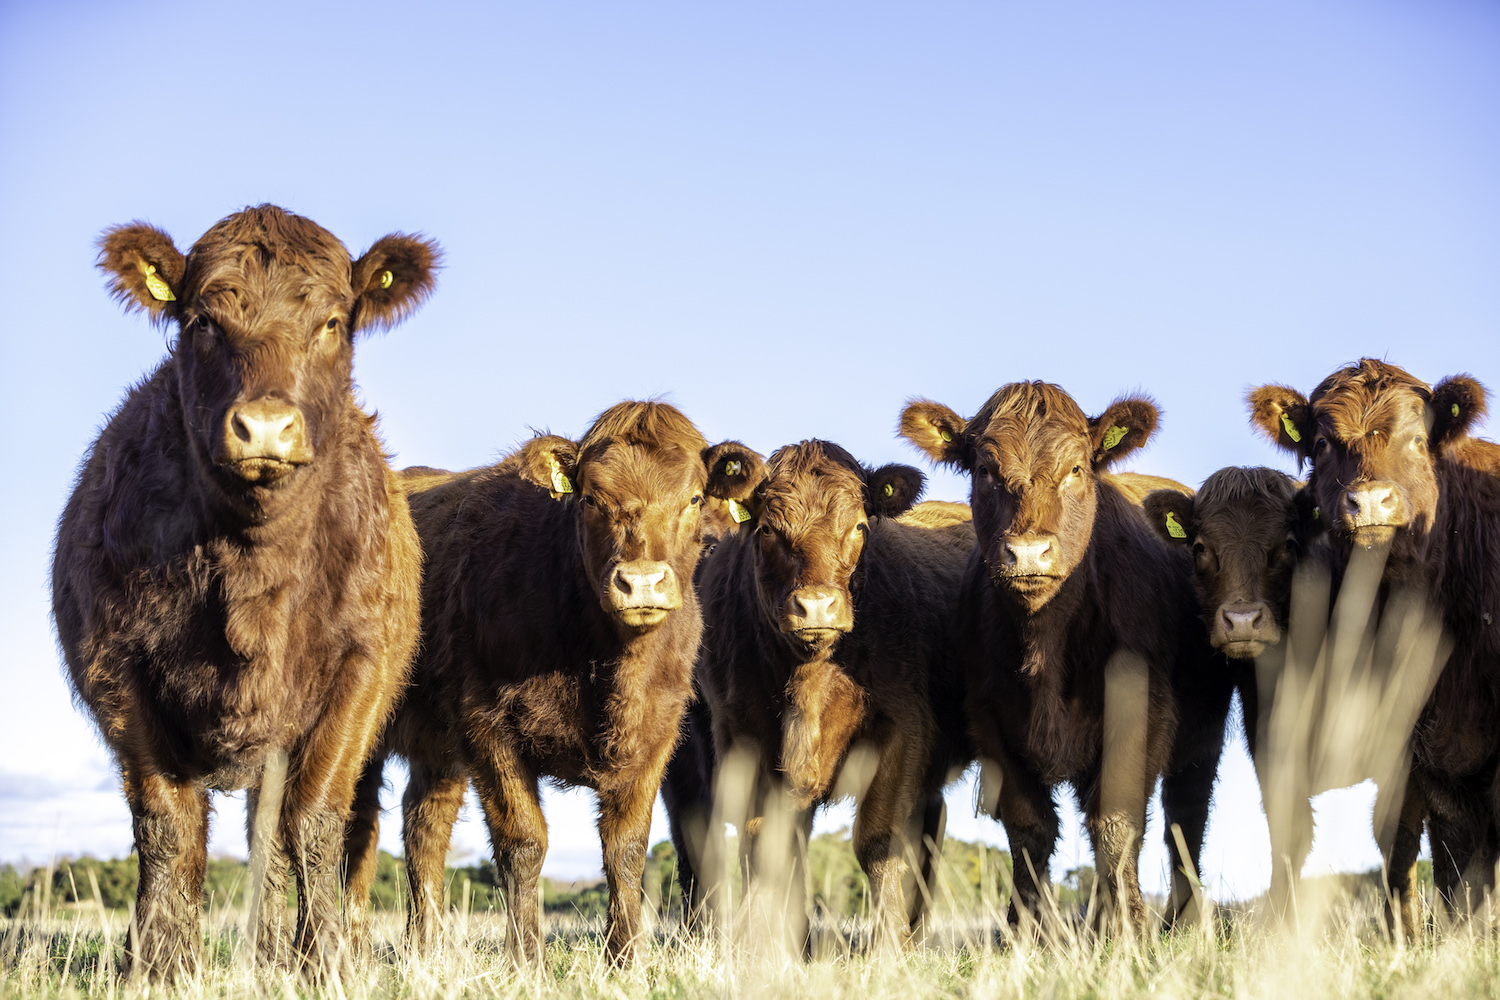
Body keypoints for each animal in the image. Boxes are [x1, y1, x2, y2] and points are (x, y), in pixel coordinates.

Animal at [51, 205, 436, 979]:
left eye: (332, 322)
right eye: (203, 321)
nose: (265, 427)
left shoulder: (362, 669)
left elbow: (314, 822)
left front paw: (325, 963)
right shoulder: (118, 672)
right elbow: (168, 825)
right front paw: (160, 966)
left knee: (277, 837)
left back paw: (273, 957)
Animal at [340, 403, 762, 966]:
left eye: (694, 498)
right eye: (590, 497)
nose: (641, 583)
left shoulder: (656, 738)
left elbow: (627, 848)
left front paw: (624, 955)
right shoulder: (488, 729)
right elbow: (524, 843)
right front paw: (526, 958)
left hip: (438, 749)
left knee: (424, 825)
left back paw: (424, 949)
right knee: (356, 827)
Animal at [899, 383, 1223, 934]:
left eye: (1075, 468)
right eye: (984, 470)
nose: (1028, 553)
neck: (1045, 648)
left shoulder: (1141, 714)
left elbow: (1115, 823)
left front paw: (1127, 929)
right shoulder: (991, 722)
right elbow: (1030, 829)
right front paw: (1025, 933)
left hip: (1203, 734)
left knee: (1187, 815)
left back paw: (1177, 922)